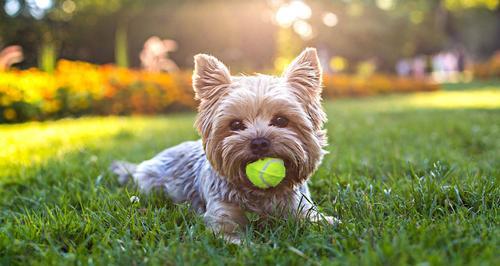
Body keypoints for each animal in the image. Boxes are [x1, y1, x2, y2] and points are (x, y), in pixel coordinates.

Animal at [111, 47, 338, 243]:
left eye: (281, 120)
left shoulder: (299, 207)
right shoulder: (222, 218)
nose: (259, 142)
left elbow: (318, 220)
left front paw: (330, 223)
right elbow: (233, 239)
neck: (260, 193)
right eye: (235, 125)